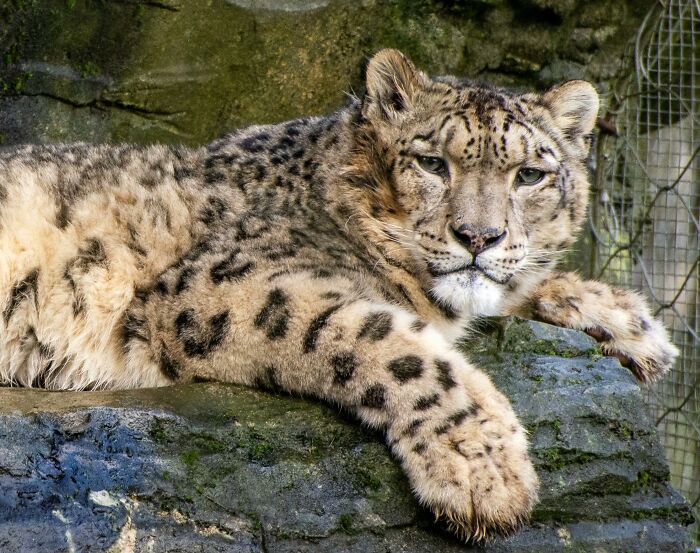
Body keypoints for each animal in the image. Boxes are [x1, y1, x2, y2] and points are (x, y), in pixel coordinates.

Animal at [0, 49, 678, 541]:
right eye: (432, 163)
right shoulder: (225, 283)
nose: (478, 237)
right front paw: (484, 471)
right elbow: (391, 342)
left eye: (531, 174)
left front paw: (629, 322)